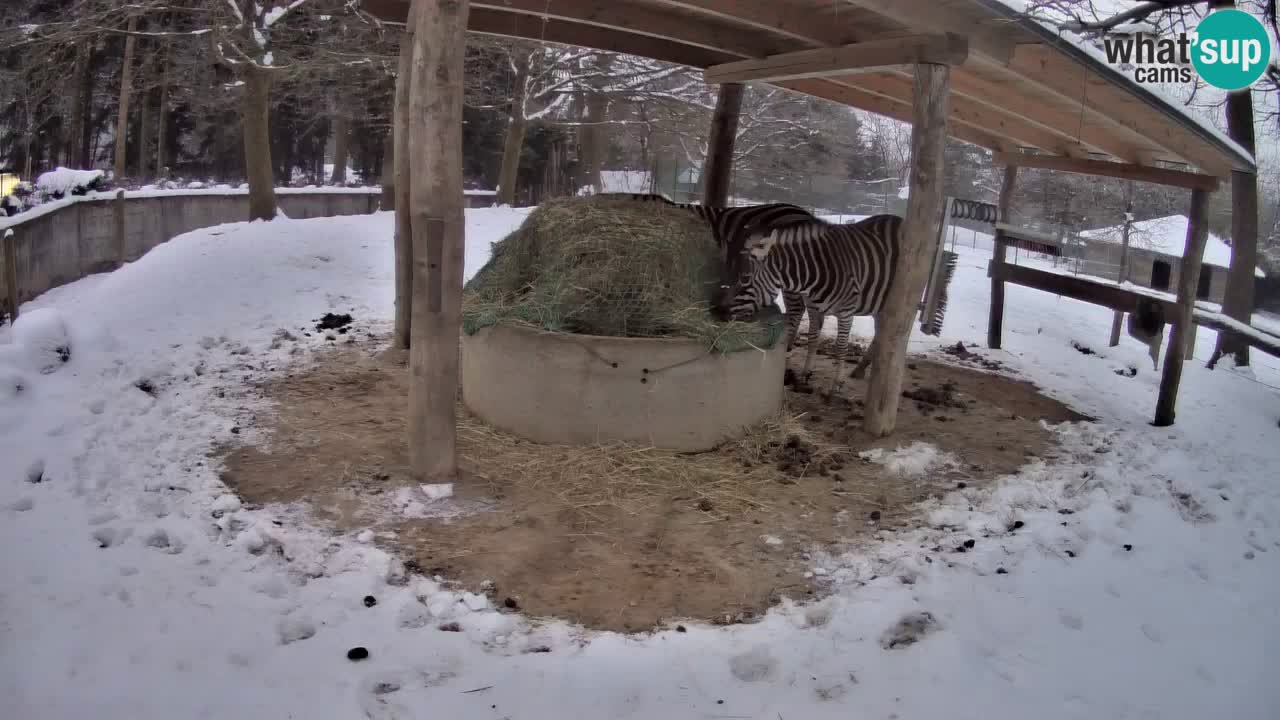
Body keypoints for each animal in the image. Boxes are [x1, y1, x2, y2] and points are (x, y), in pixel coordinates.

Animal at [719, 214, 904, 395]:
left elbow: (841, 347)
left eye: (745, 279)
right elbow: (813, 340)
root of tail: (899, 219)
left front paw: (837, 384)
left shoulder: (846, 312)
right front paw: (805, 374)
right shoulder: (814, 309)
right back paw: (861, 370)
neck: (817, 273)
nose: (720, 311)